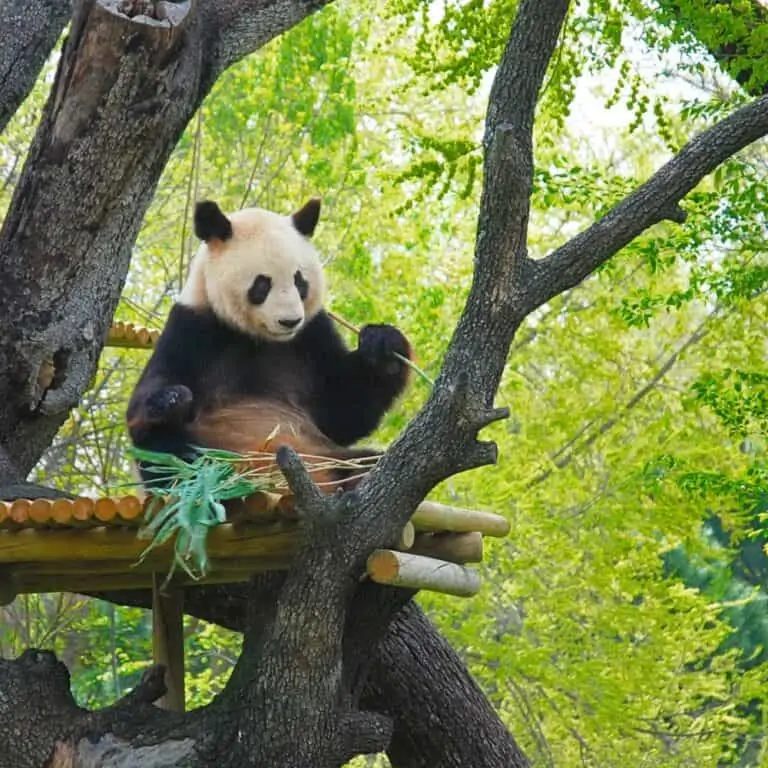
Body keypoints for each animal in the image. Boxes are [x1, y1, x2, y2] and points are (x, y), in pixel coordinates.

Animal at [126, 195, 414, 488]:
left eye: (300, 281)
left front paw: (383, 344)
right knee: (167, 451)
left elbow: (344, 406)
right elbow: (147, 403)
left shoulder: (311, 335)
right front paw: (173, 399)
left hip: (325, 454)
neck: (258, 338)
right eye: (262, 284)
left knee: (365, 459)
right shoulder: (191, 329)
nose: (290, 321)